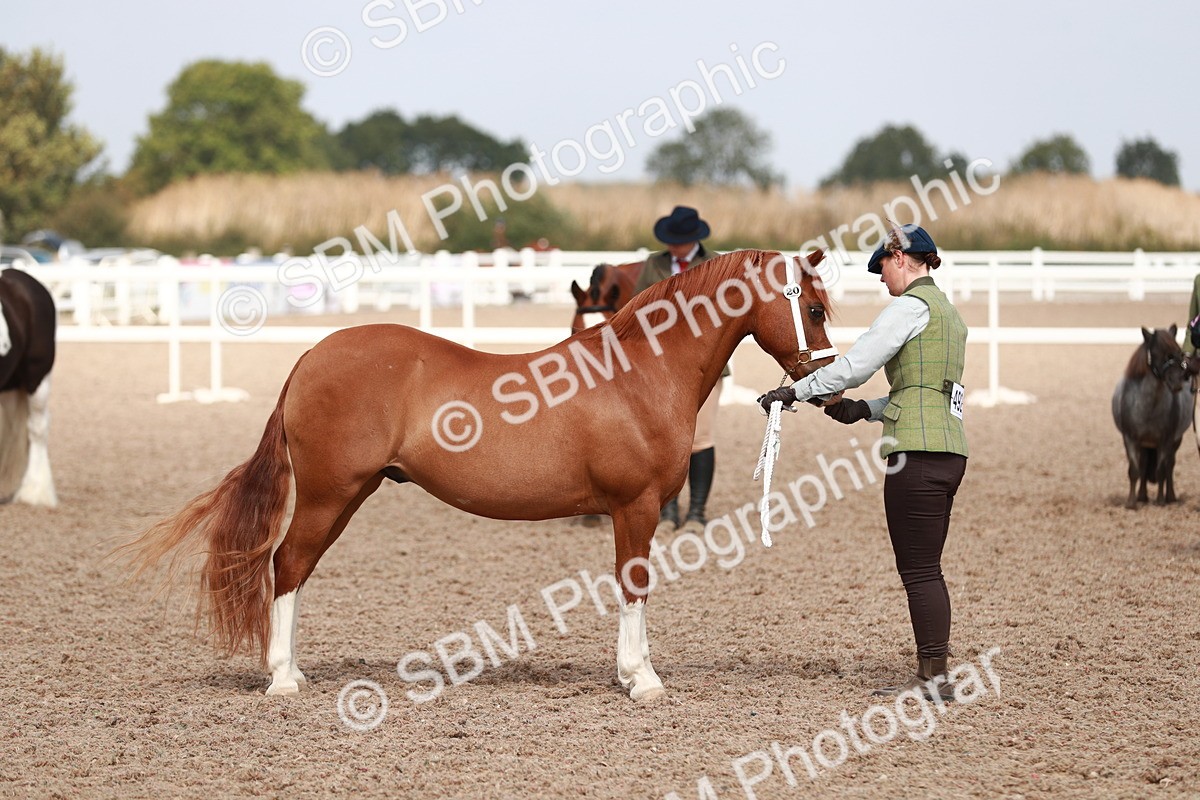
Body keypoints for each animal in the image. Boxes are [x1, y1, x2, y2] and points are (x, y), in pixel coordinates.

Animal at [123, 248, 837, 701]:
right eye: (816, 309)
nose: (827, 382)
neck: (640, 373)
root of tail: (311, 356)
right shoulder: (634, 508)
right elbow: (634, 586)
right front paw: (642, 680)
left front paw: (631, 674)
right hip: (330, 495)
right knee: (286, 566)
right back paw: (282, 680)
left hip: (347, 495)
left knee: (292, 568)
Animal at [1112, 326, 1195, 509]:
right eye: (1157, 353)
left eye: (1178, 352)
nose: (1178, 382)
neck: (1148, 408)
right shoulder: (1130, 439)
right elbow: (1134, 470)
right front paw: (1131, 503)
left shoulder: (1166, 440)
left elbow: (1161, 470)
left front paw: (1160, 501)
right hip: (1145, 444)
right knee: (1143, 465)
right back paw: (1142, 496)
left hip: (1175, 441)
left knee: (1170, 465)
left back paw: (1170, 497)